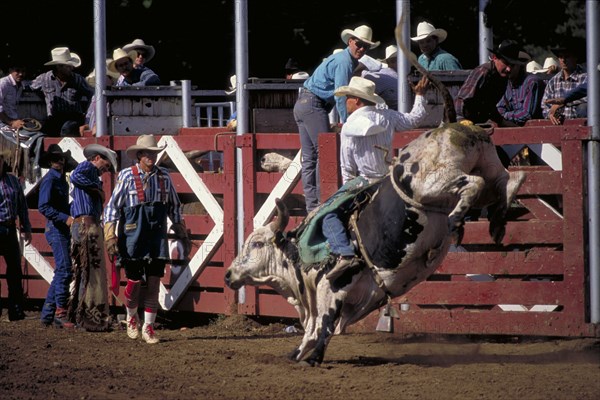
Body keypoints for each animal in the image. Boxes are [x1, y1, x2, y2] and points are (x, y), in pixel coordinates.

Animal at [225, 20, 524, 366]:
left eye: (256, 244)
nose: (229, 274)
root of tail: (450, 125)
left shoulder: (331, 291)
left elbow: (319, 327)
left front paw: (306, 355)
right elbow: (320, 330)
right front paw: (306, 355)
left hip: (434, 184)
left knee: (472, 184)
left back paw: (458, 220)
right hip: (489, 162)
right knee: (508, 180)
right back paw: (497, 222)